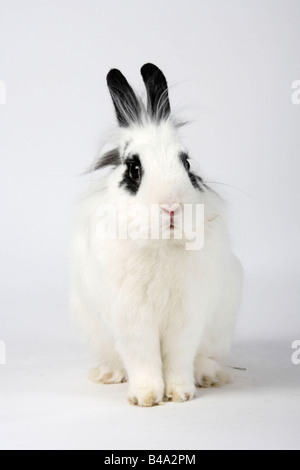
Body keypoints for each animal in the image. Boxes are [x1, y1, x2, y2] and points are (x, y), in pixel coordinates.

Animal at [71, 63, 244, 408]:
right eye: (134, 169)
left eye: (187, 164)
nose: (171, 206)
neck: (161, 244)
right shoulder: (132, 318)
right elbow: (143, 358)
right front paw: (146, 396)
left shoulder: (188, 315)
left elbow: (180, 355)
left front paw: (181, 393)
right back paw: (109, 374)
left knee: (205, 356)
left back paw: (208, 376)